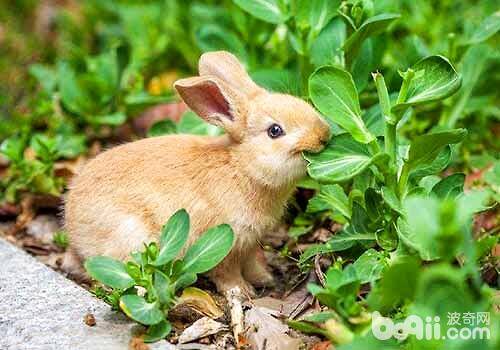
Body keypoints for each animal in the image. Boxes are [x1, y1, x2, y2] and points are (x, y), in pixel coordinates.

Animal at [65, 50, 332, 296]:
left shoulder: (248, 245)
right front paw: (242, 292)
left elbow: (250, 264)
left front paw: (264, 279)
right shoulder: (226, 243)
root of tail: (71, 225)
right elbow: (227, 273)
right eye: (275, 131)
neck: (241, 166)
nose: (323, 135)